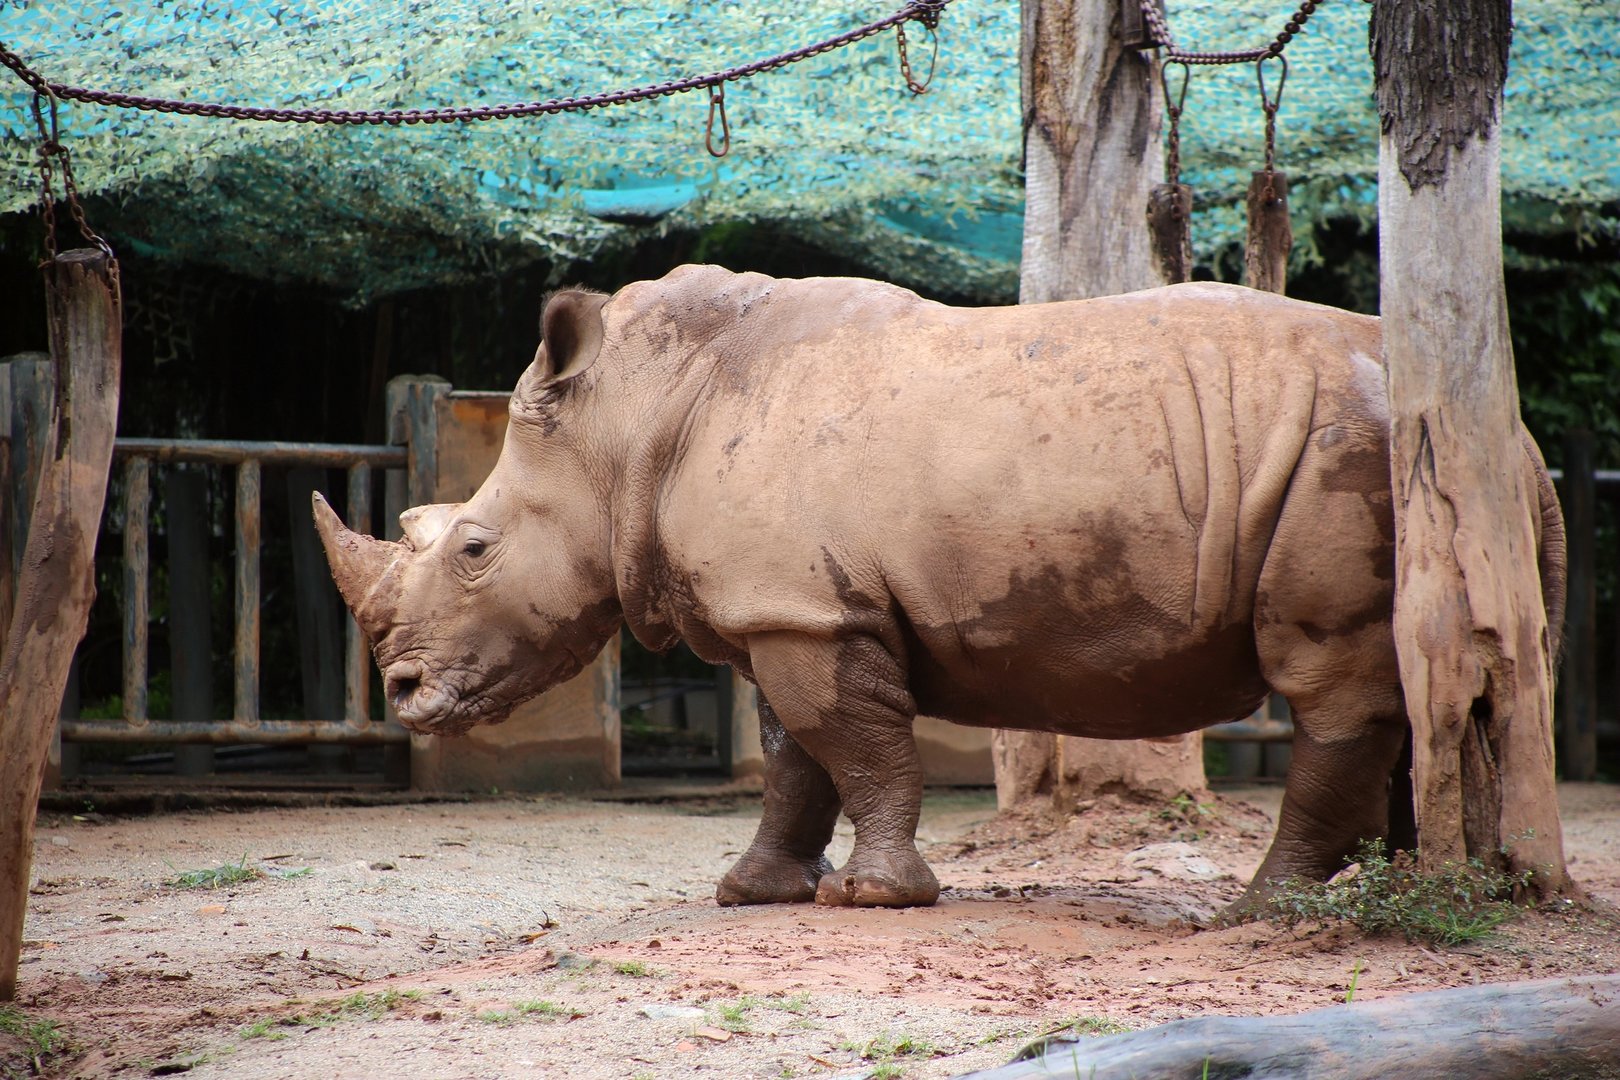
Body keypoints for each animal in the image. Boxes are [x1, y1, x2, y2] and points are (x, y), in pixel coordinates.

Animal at [314, 266, 1565, 911]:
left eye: (473, 549)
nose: (405, 692)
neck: (627, 423)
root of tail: (1521, 447)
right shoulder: (791, 608)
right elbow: (796, 757)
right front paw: (754, 892)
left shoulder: (809, 611)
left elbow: (856, 745)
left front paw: (874, 900)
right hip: (1393, 461)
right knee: (1394, 682)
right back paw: (1389, 882)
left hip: (1343, 449)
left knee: (1331, 682)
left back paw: (1272, 907)